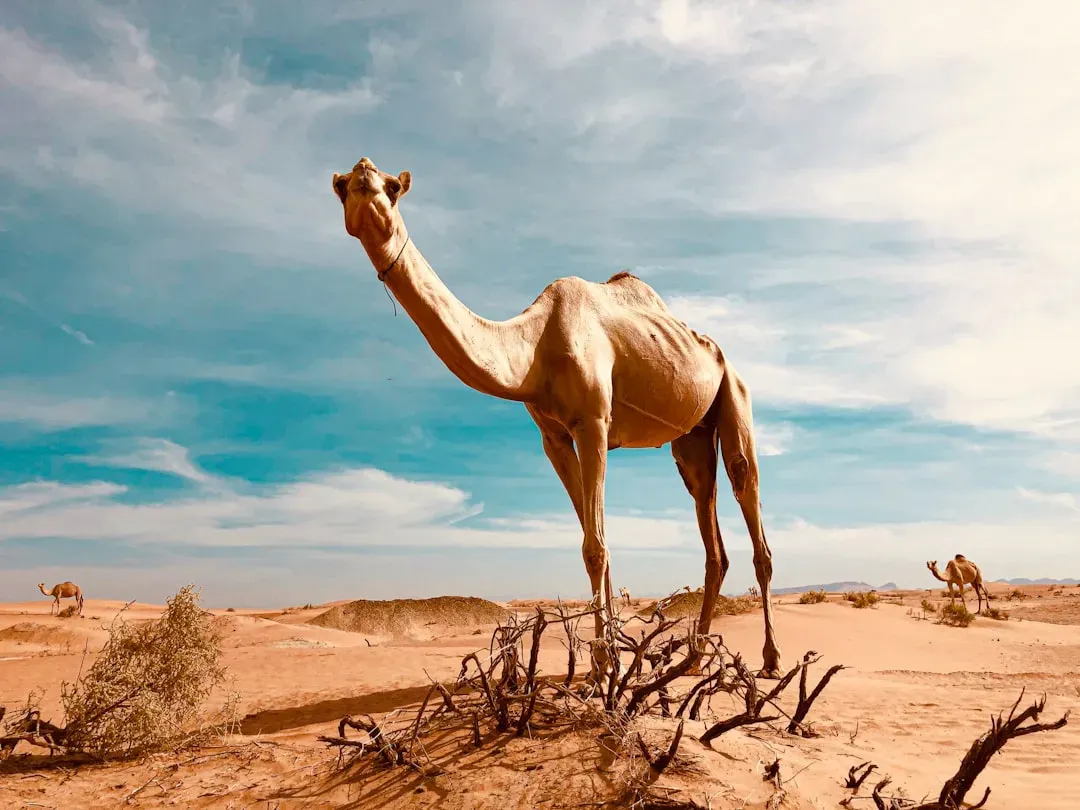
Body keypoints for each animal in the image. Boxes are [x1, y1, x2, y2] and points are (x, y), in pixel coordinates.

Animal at [332, 157, 781, 678]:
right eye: (344, 188)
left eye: (390, 186)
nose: (363, 176)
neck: (534, 346)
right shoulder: (553, 438)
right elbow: (594, 540)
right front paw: (605, 662)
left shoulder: (594, 422)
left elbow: (595, 547)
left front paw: (604, 664)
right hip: (691, 437)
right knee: (710, 527)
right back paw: (692, 657)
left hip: (734, 393)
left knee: (747, 491)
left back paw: (770, 660)